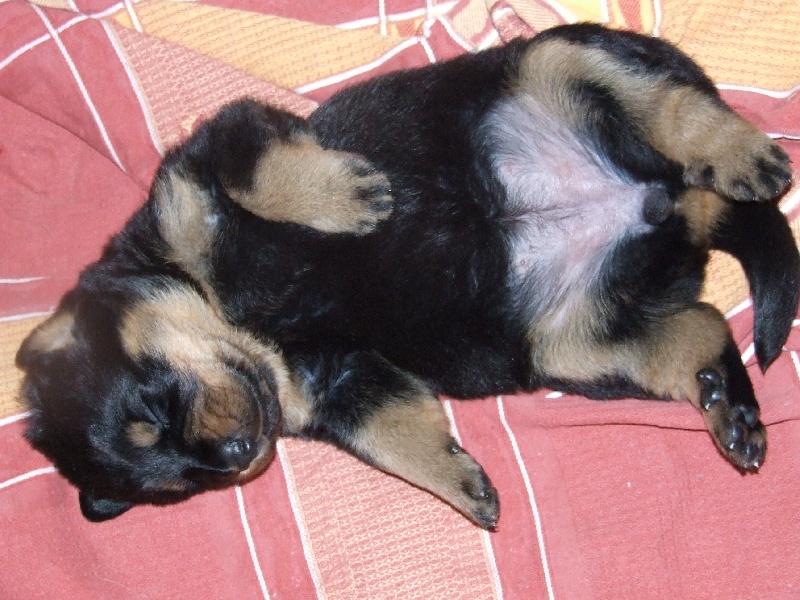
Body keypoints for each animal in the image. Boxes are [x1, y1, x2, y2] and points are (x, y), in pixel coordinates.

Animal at [15, 25, 796, 528]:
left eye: (152, 406)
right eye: (184, 479)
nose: (239, 454)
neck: (234, 316)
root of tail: (679, 207)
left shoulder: (211, 154)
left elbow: (261, 168)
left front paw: (350, 198)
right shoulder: (347, 383)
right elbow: (396, 436)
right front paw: (462, 484)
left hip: (561, 60)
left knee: (674, 107)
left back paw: (743, 156)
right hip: (576, 346)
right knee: (694, 329)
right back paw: (730, 411)